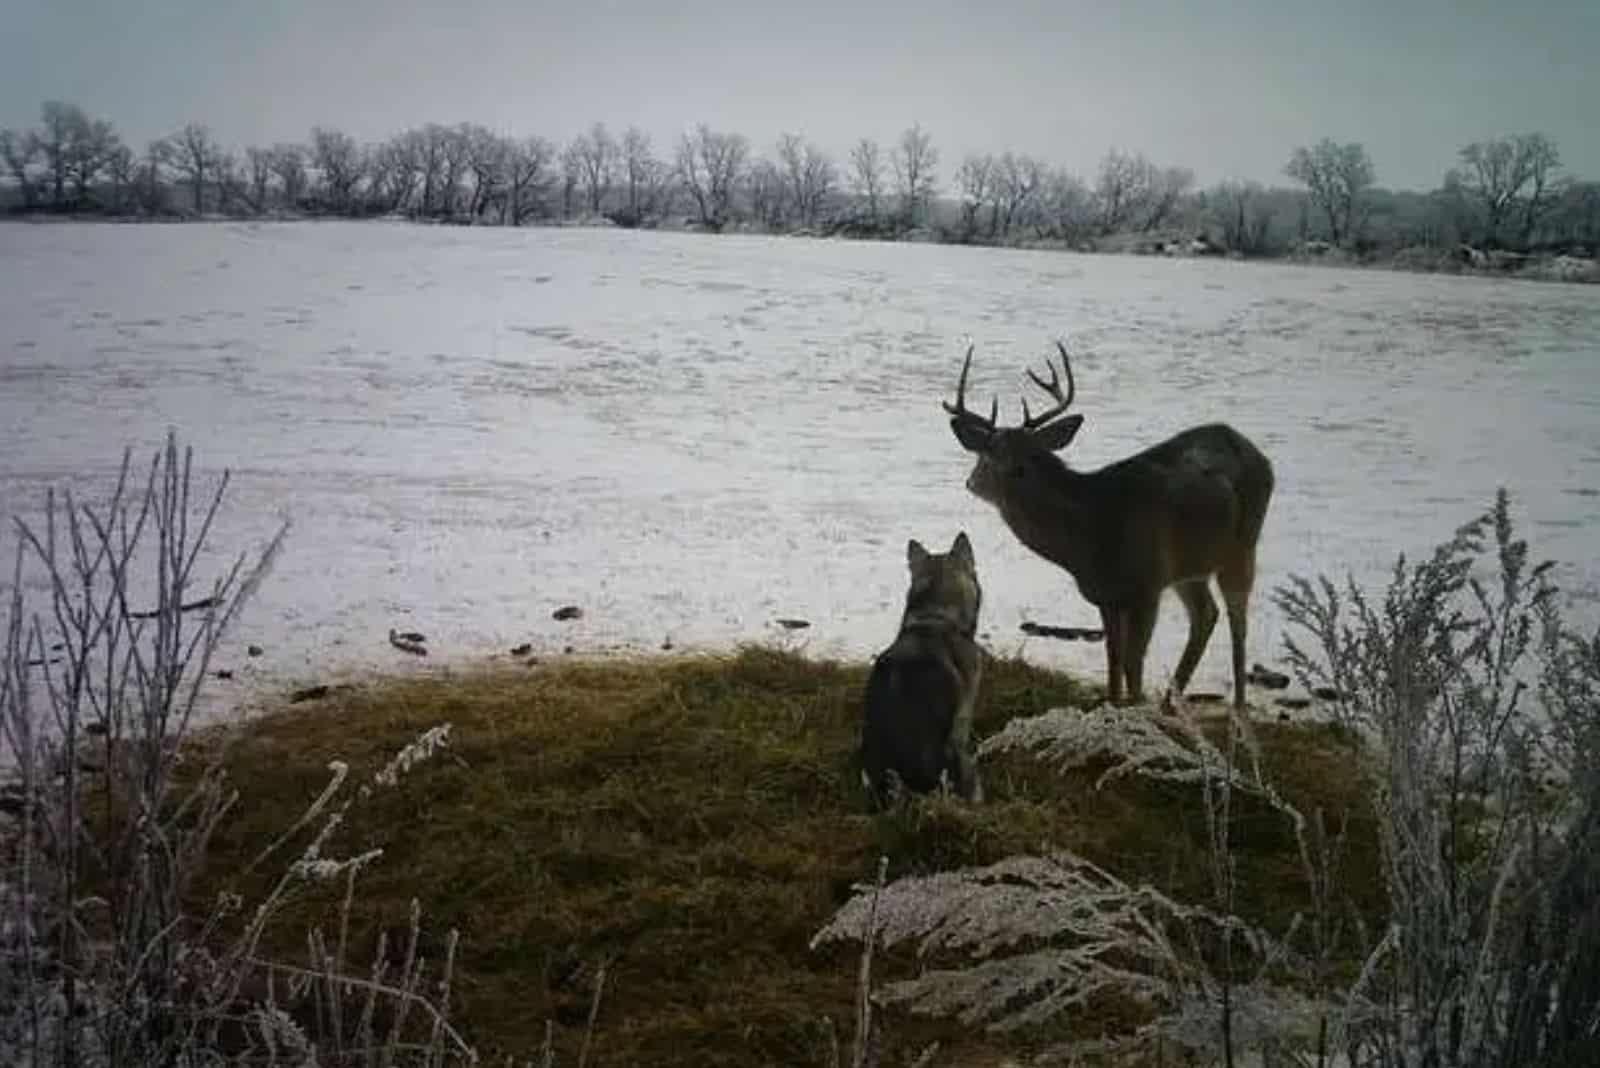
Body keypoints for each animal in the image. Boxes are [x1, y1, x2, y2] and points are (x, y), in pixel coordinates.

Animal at [940, 342, 1280, 709]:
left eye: (1029, 455)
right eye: (988, 453)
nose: (973, 482)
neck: (1094, 531)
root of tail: (1251, 447)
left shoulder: (1147, 585)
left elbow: (1133, 661)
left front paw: (1135, 707)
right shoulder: (1107, 595)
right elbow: (1114, 658)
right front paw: (1117, 704)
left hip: (1243, 543)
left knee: (1237, 619)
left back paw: (1238, 706)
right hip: (1191, 565)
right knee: (1206, 615)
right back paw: (1170, 704)